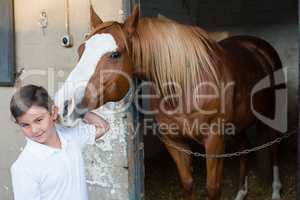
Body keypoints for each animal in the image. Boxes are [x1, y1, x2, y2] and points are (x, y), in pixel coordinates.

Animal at [55, 5, 286, 200]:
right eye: (81, 50)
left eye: (115, 54)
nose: (63, 106)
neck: (185, 87)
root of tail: (259, 47)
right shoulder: (174, 141)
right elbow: (188, 184)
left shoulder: (214, 140)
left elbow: (213, 189)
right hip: (238, 124)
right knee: (244, 148)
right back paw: (241, 193)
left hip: (270, 116)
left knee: (275, 148)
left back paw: (275, 192)